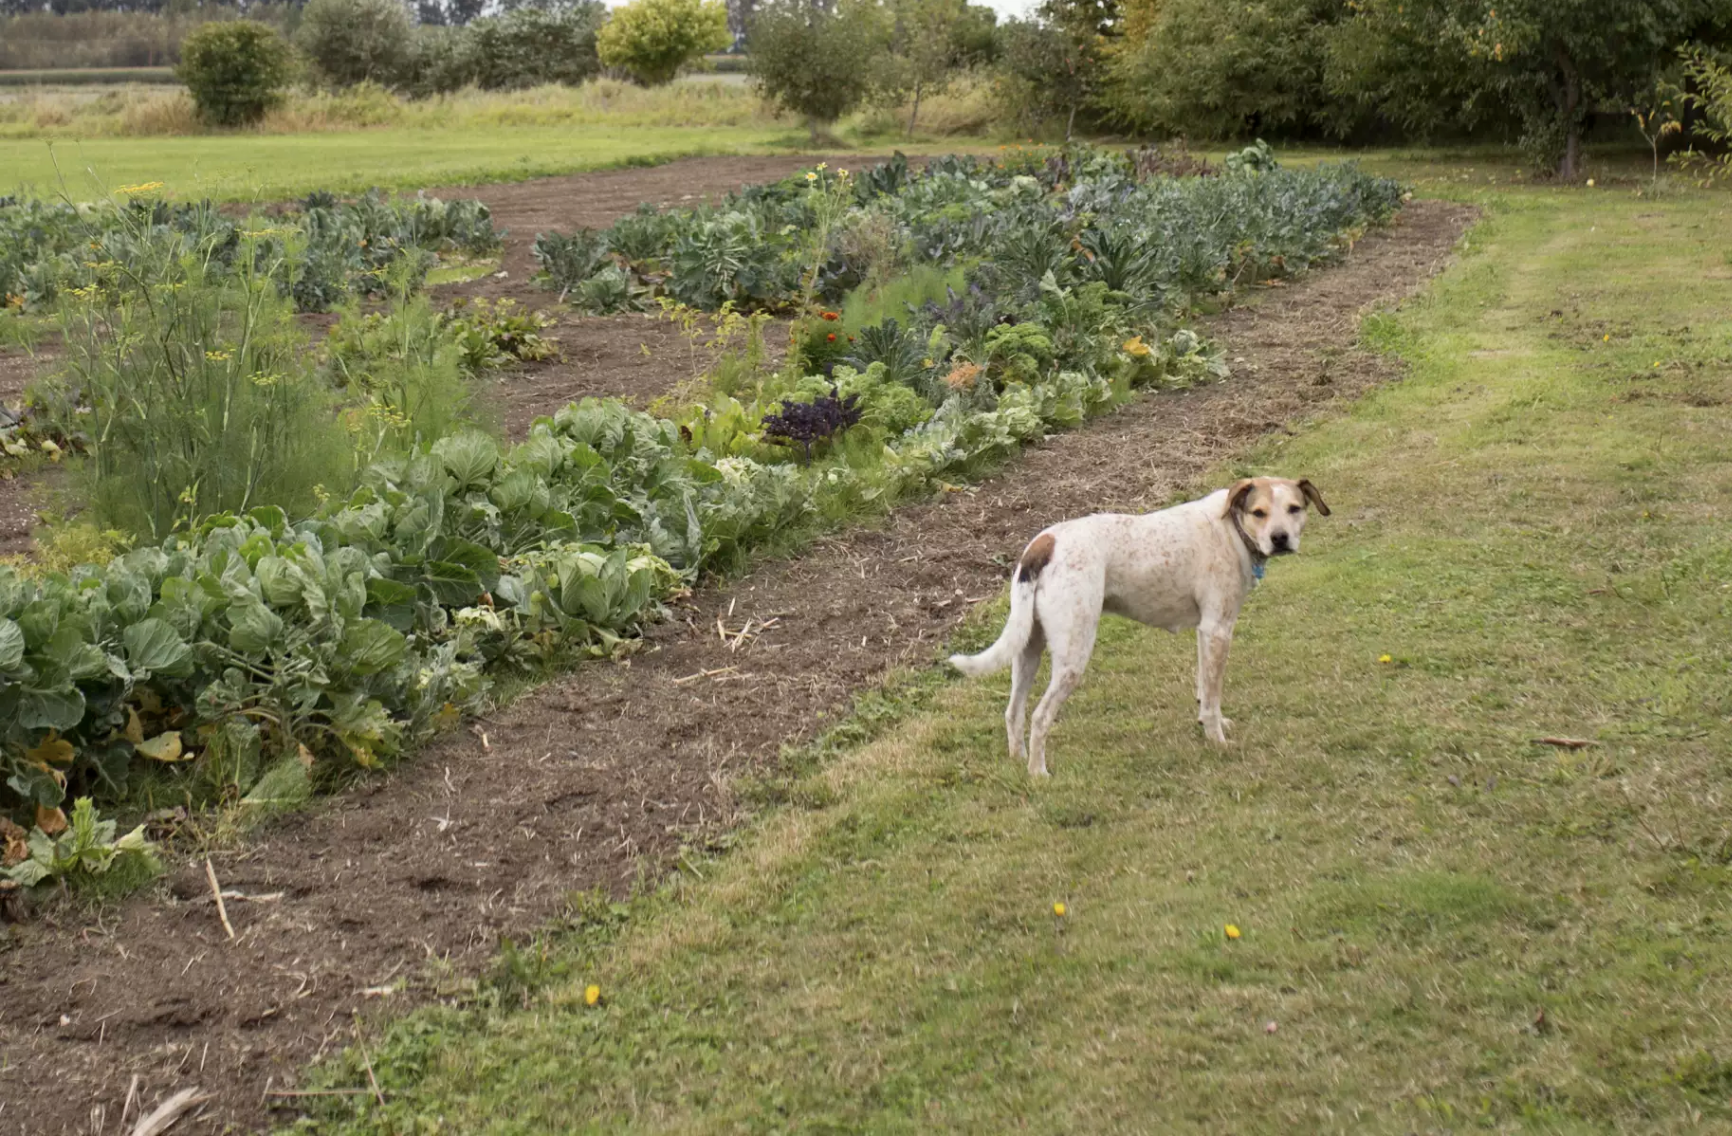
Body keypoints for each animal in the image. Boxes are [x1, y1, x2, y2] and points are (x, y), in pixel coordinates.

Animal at [949, 474, 1323, 775]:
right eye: (1259, 512)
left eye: (1294, 508)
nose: (1280, 539)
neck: (1231, 529)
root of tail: (1045, 544)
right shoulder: (1218, 630)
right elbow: (1213, 694)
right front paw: (1217, 740)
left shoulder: (1205, 632)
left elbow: (1204, 687)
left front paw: (1208, 722)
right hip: (1073, 656)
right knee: (1040, 717)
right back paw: (1038, 774)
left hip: (1027, 650)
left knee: (1013, 712)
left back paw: (1018, 761)